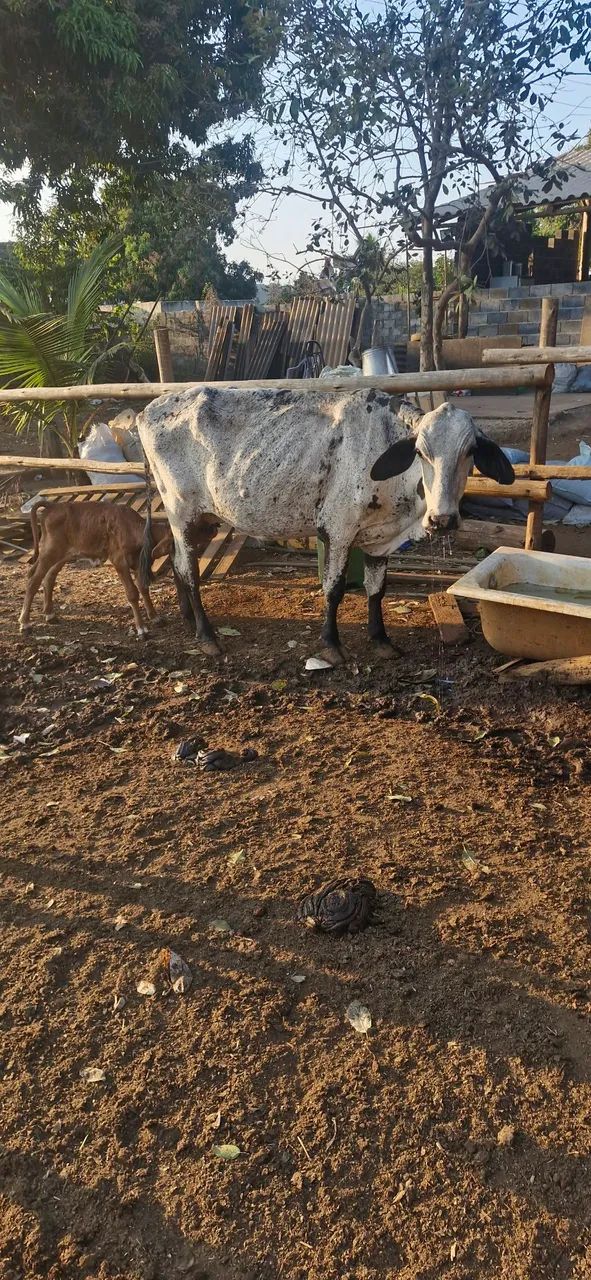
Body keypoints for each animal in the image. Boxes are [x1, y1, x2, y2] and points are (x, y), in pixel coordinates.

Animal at [19, 501, 172, 637]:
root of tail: (53, 505)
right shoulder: (120, 561)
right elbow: (132, 593)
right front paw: (142, 629)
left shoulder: (138, 564)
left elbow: (144, 588)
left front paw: (155, 617)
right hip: (50, 552)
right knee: (33, 580)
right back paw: (25, 623)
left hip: (63, 555)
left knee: (49, 577)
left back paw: (49, 614)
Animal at [137, 386, 514, 662]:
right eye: (421, 452)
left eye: (470, 451)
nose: (443, 519)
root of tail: (147, 410)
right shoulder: (338, 530)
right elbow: (333, 589)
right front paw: (331, 645)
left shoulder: (380, 539)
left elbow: (376, 590)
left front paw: (381, 639)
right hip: (181, 511)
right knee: (189, 570)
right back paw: (206, 635)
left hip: (201, 519)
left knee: (176, 562)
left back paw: (188, 617)